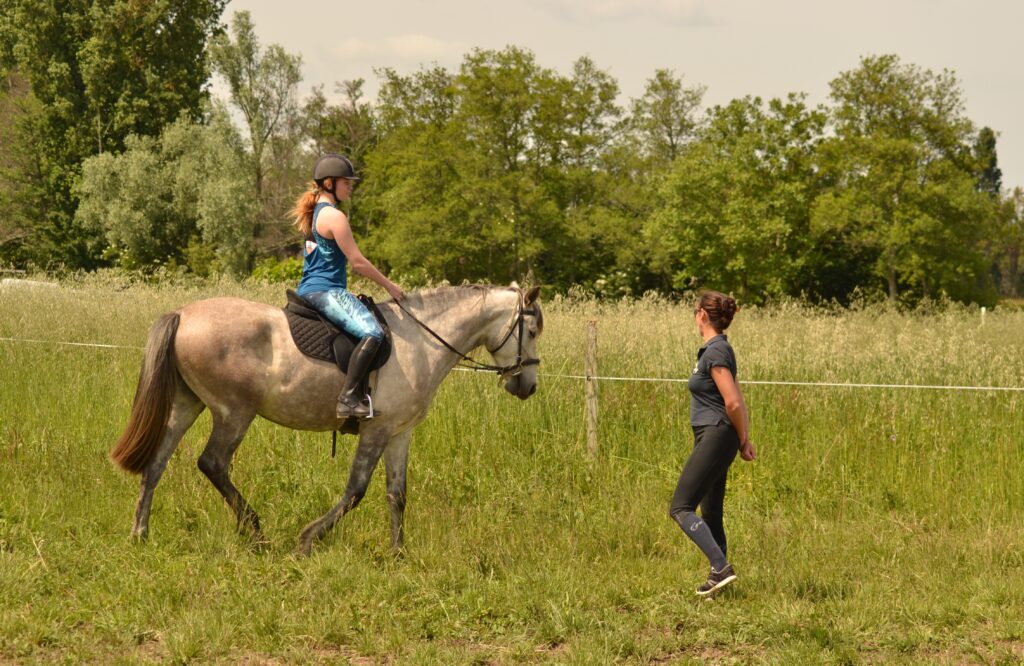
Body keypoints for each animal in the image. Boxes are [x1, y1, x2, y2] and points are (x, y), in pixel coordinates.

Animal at [110, 282, 544, 553]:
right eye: (534, 331)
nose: (528, 386)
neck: (422, 341)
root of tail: (183, 313)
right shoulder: (376, 429)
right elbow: (356, 490)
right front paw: (308, 540)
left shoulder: (399, 433)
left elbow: (397, 494)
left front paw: (398, 552)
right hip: (234, 412)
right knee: (212, 463)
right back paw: (256, 532)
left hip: (188, 405)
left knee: (157, 462)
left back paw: (139, 534)